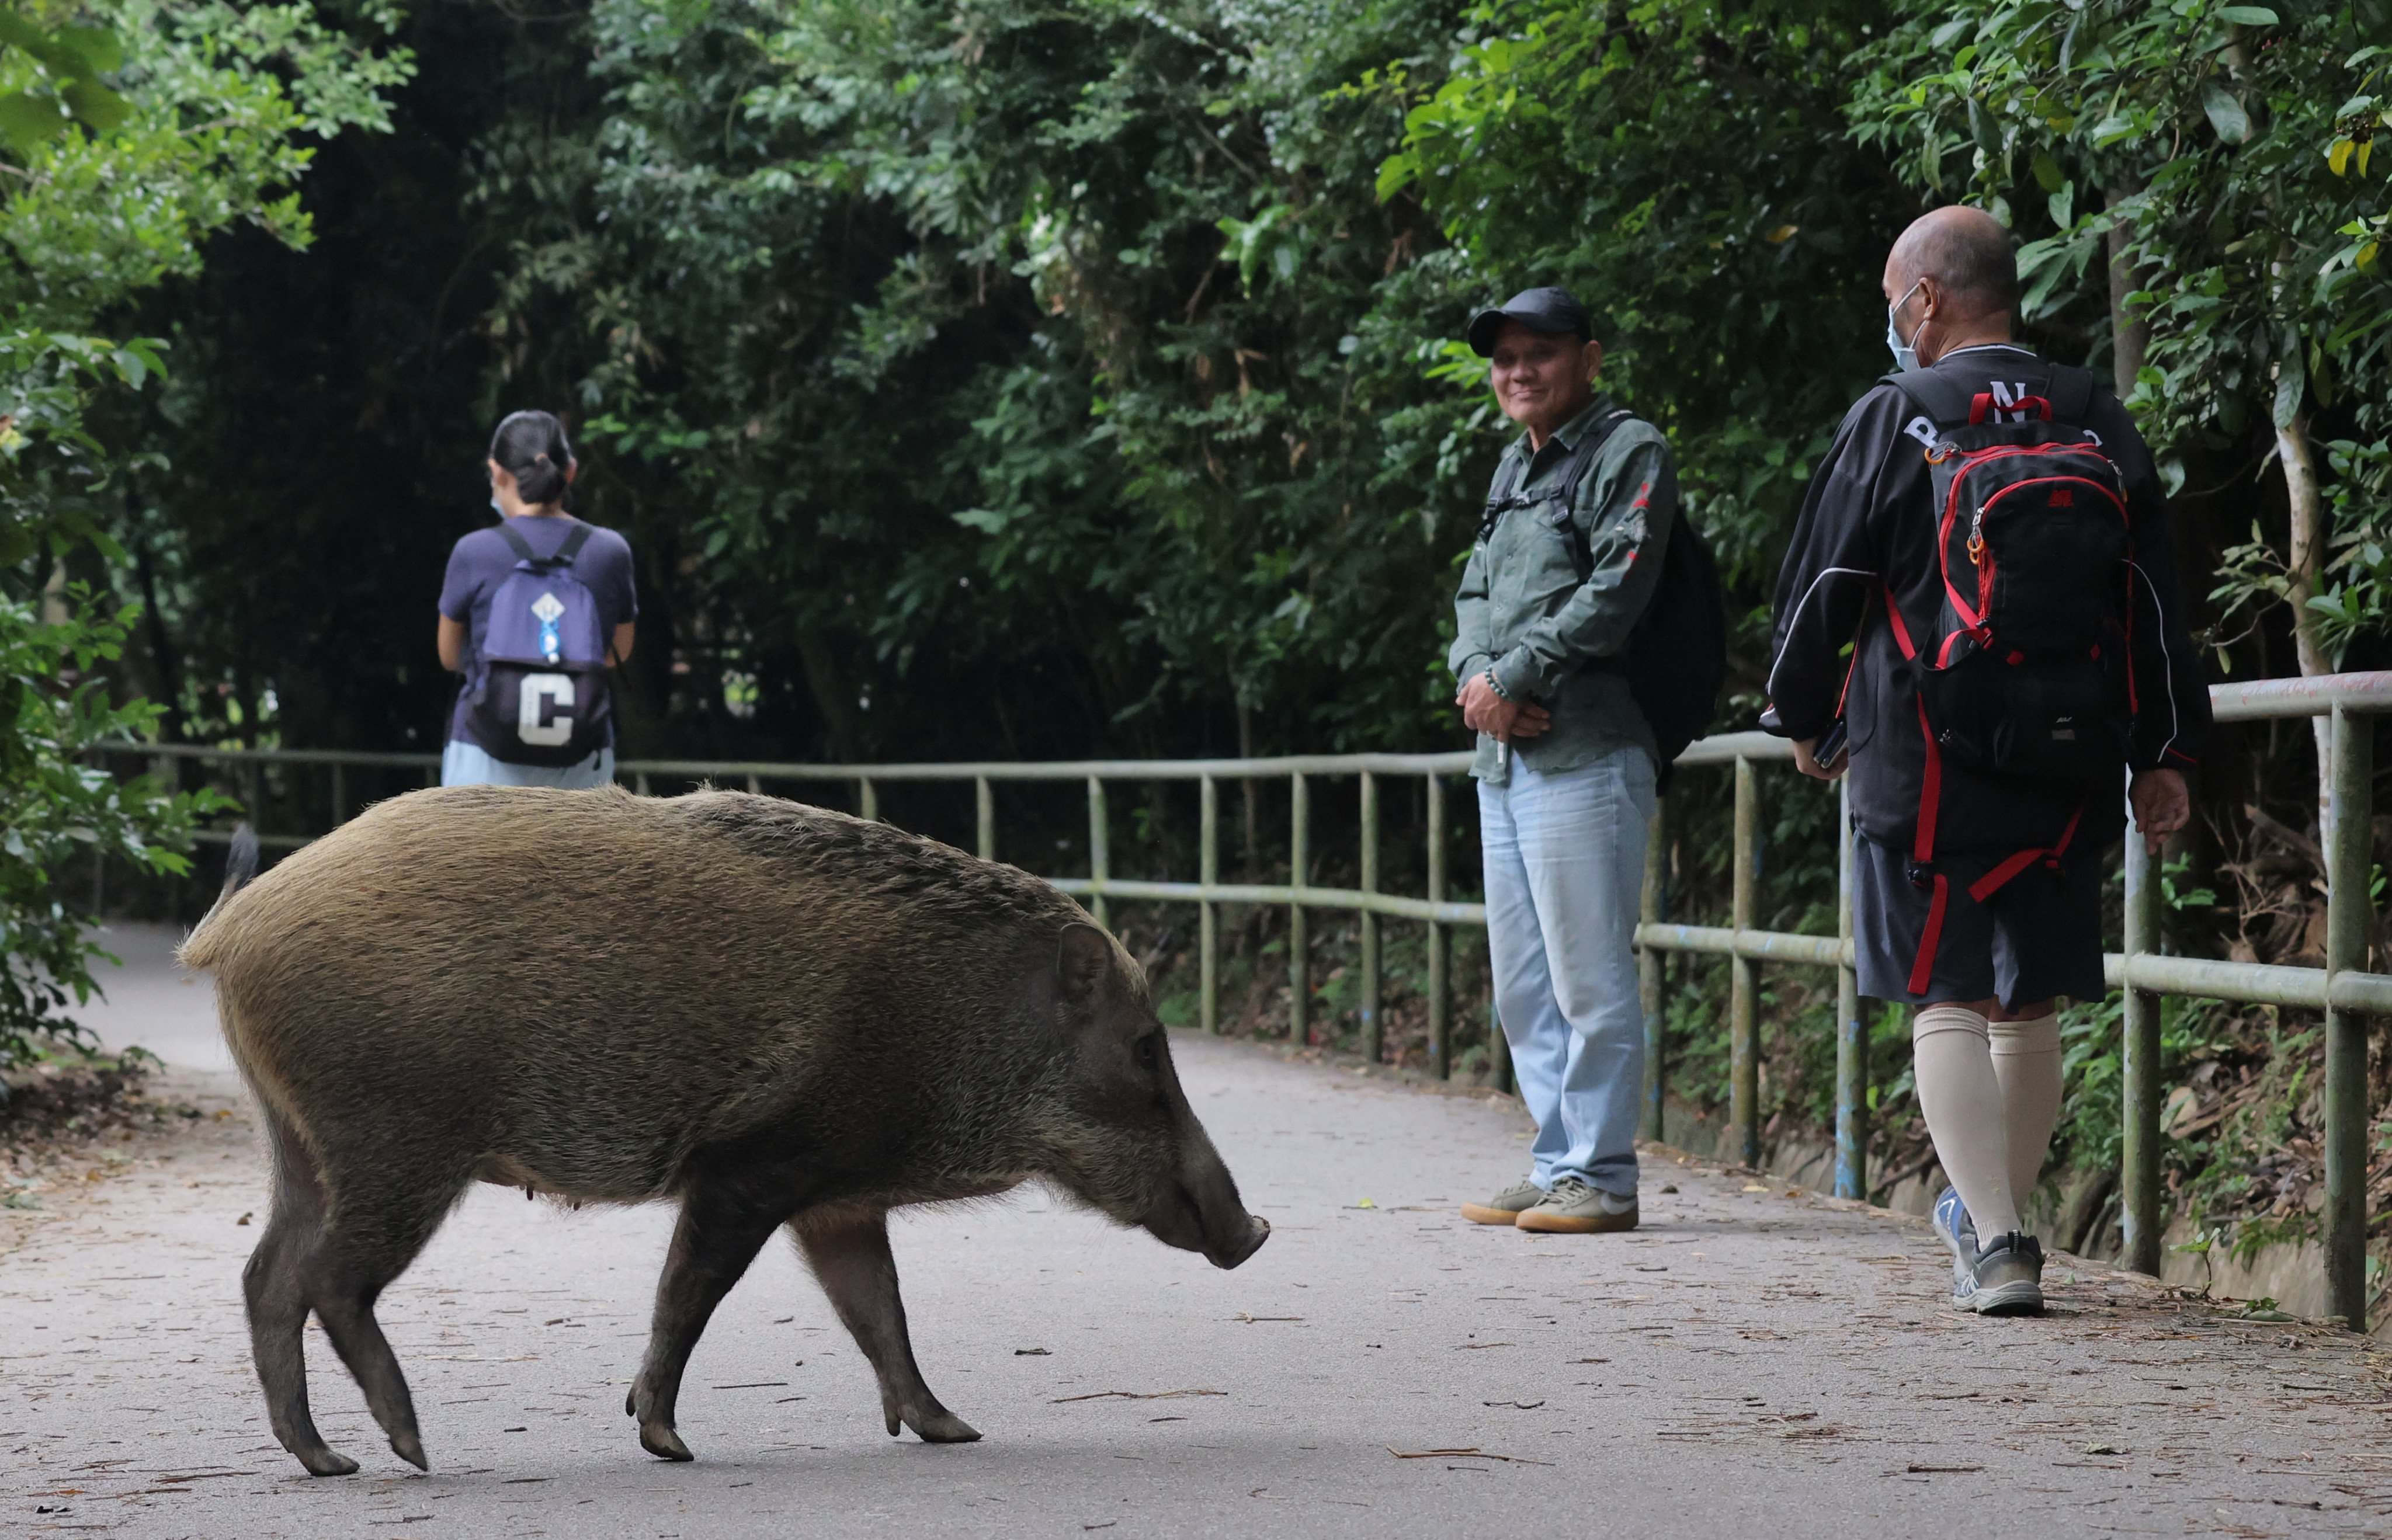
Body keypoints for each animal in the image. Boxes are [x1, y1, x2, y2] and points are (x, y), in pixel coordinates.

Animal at [177, 785, 1269, 1477]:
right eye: (1144, 1048)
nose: (1254, 1230)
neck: (956, 1021)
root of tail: (230, 929)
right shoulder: (754, 1165)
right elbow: (690, 1294)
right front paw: (665, 1442)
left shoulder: (838, 1198)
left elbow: (880, 1309)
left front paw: (953, 1430)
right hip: (394, 1142)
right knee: (329, 1281)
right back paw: (411, 1450)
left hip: (301, 1141)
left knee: (266, 1275)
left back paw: (329, 1460)